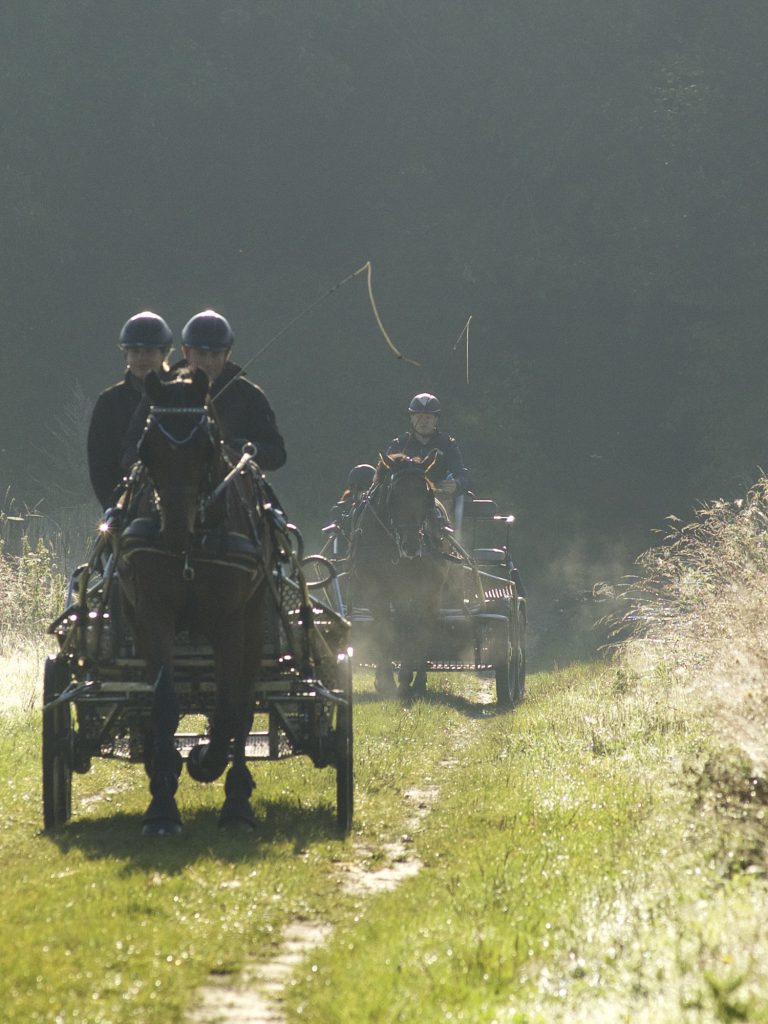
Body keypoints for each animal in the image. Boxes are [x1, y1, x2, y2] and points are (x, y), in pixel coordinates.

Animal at [118, 372, 274, 835]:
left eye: (206, 446)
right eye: (146, 447)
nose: (173, 529)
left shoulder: (229, 621)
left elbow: (229, 709)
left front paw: (208, 764)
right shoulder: (152, 616)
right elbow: (163, 706)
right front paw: (162, 804)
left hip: (254, 620)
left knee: (242, 705)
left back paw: (236, 792)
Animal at [352, 452, 448, 700]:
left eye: (427, 495)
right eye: (393, 496)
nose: (412, 546)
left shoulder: (415, 587)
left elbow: (409, 626)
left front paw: (405, 678)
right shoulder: (373, 587)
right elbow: (383, 626)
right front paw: (384, 679)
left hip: (432, 591)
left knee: (424, 625)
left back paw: (418, 680)